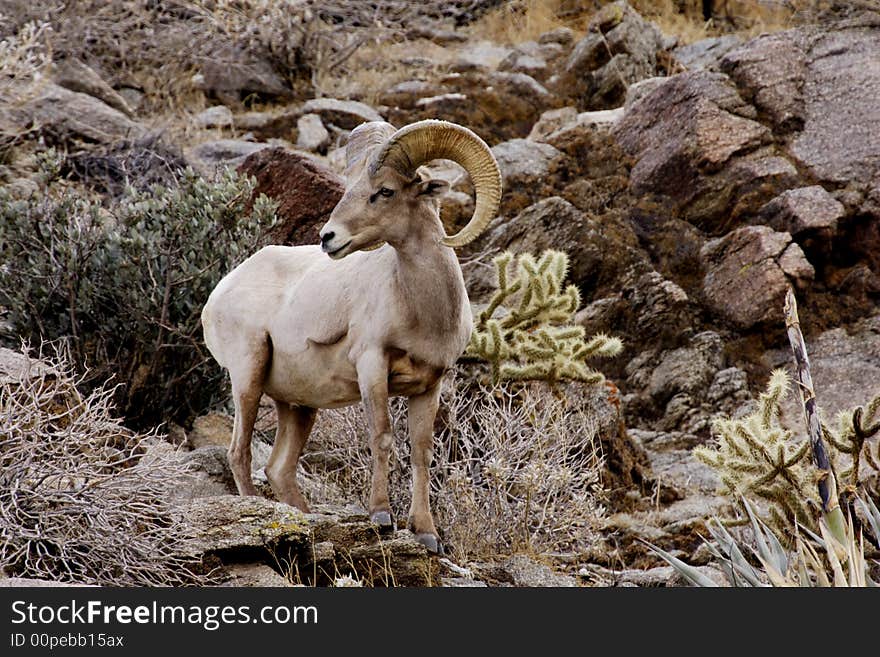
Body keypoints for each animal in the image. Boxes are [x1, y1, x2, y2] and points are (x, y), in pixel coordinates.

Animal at [201, 118, 502, 548]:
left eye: (385, 191)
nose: (328, 238)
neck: (421, 308)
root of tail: (220, 292)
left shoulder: (430, 386)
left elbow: (421, 452)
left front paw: (426, 533)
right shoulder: (372, 366)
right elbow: (382, 437)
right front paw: (381, 516)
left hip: (297, 406)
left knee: (279, 468)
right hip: (248, 378)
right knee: (239, 453)